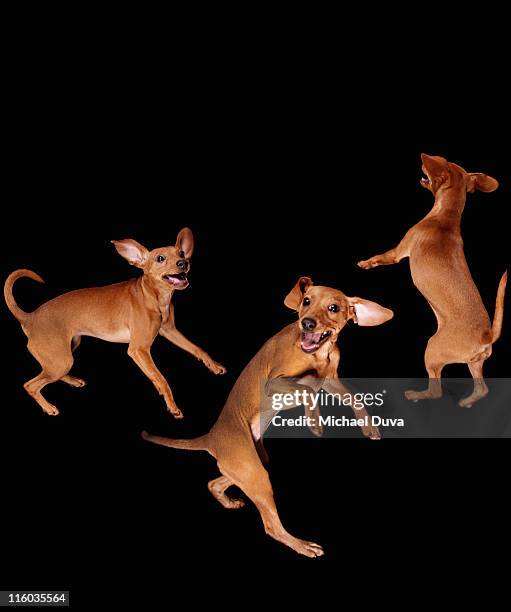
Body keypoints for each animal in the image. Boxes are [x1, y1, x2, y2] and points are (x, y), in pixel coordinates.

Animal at [4, 227, 226, 418]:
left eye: (181, 253)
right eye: (160, 258)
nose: (183, 263)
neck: (155, 297)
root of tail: (30, 317)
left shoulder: (170, 331)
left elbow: (197, 350)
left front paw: (215, 367)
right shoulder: (138, 349)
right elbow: (161, 379)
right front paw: (172, 406)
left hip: (66, 352)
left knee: (49, 374)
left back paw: (72, 381)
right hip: (61, 360)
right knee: (31, 385)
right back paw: (49, 407)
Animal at [142, 280, 394, 556]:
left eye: (333, 308)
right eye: (306, 300)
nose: (307, 323)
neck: (319, 353)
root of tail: (211, 437)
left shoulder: (330, 382)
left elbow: (355, 399)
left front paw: (369, 427)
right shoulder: (275, 384)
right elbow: (306, 390)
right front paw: (314, 421)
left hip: (251, 466)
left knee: (214, 483)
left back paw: (227, 501)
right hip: (255, 474)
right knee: (271, 526)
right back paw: (301, 545)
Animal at [360, 154, 508, 406]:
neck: (445, 218)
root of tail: (486, 335)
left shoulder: (397, 253)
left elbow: (379, 257)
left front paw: (365, 263)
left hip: (432, 349)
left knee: (436, 391)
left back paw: (415, 395)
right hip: (474, 363)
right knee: (482, 389)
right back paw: (467, 402)